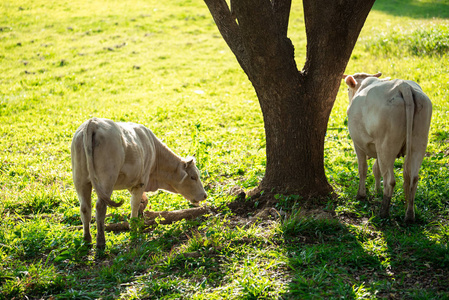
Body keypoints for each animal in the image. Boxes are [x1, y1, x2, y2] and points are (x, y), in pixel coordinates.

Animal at [72, 118, 208, 248]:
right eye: (193, 177)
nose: (205, 195)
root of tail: (93, 122)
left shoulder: (133, 182)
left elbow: (143, 201)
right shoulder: (141, 181)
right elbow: (134, 204)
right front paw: (134, 230)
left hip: (80, 180)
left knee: (85, 208)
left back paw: (87, 240)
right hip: (106, 180)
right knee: (100, 207)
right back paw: (100, 242)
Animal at [344, 72, 430, 223]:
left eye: (348, 89)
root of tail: (403, 86)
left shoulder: (358, 144)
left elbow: (363, 169)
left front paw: (361, 195)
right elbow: (376, 169)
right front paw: (377, 190)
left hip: (386, 146)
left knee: (390, 181)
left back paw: (383, 212)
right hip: (419, 143)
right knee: (413, 178)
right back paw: (409, 215)